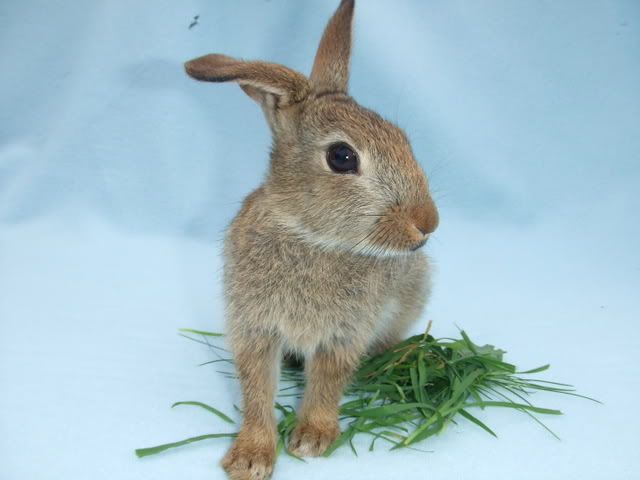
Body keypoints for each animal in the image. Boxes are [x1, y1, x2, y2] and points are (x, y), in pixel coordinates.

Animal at [182, 0, 438, 480]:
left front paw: (313, 439)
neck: (311, 235)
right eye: (342, 157)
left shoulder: (344, 334)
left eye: (402, 139)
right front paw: (249, 458)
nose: (427, 223)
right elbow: (257, 390)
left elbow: (327, 383)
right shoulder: (255, 328)